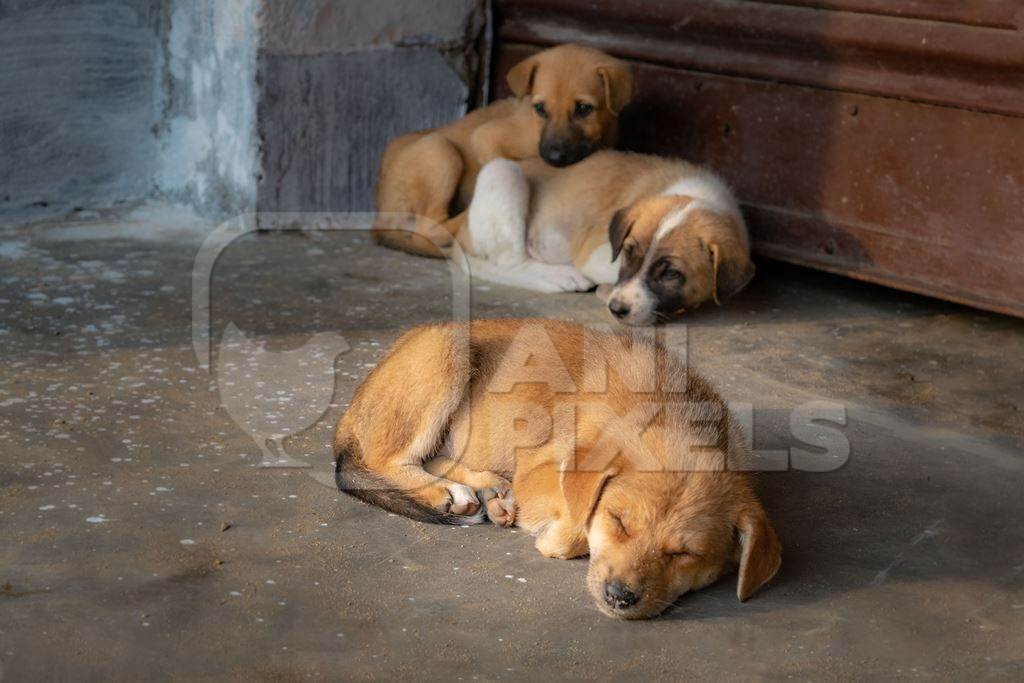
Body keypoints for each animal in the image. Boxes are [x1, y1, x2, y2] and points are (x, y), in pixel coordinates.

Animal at [331, 321, 778, 618]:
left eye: (684, 554)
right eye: (618, 522)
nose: (619, 598)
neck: (670, 414)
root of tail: (351, 410)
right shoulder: (538, 470)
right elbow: (576, 518)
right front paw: (553, 536)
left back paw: (489, 492)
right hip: (447, 347)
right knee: (386, 460)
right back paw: (449, 494)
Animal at [372, 43, 634, 259]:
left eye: (583, 109)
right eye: (540, 108)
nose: (555, 157)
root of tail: (381, 215)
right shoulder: (487, 137)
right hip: (440, 151)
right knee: (431, 227)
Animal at [454, 152, 753, 323]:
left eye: (671, 273)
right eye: (628, 252)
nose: (617, 309)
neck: (701, 196)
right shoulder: (595, 255)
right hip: (502, 172)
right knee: (508, 263)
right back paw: (562, 276)